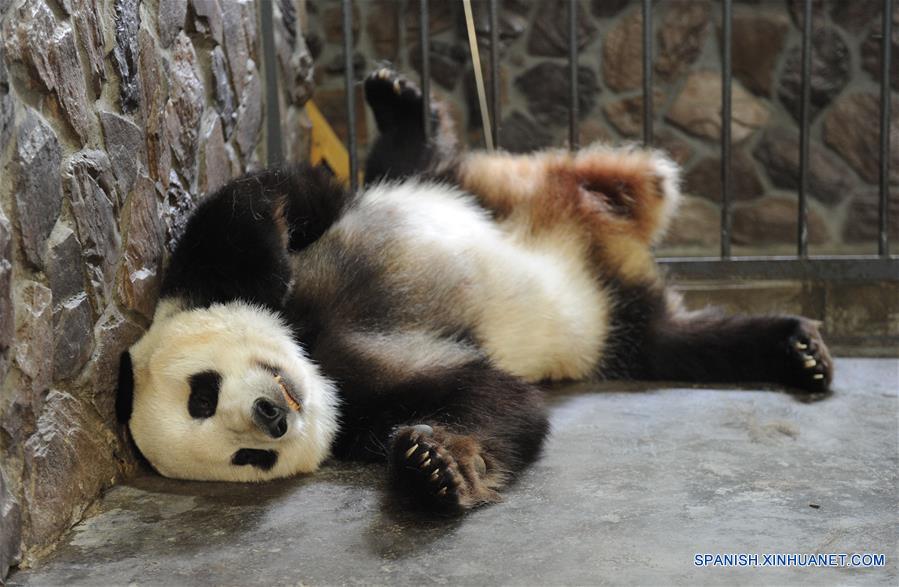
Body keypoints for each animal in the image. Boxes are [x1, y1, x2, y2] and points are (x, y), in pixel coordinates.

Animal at [118, 68, 836, 510]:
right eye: (246, 458)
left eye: (202, 392)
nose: (271, 415)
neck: (311, 350)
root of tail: (599, 246)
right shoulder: (357, 400)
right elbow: (494, 398)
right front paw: (434, 467)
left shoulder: (237, 265)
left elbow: (269, 198)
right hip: (620, 328)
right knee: (678, 342)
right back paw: (796, 351)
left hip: (468, 187)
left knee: (415, 165)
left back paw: (400, 106)